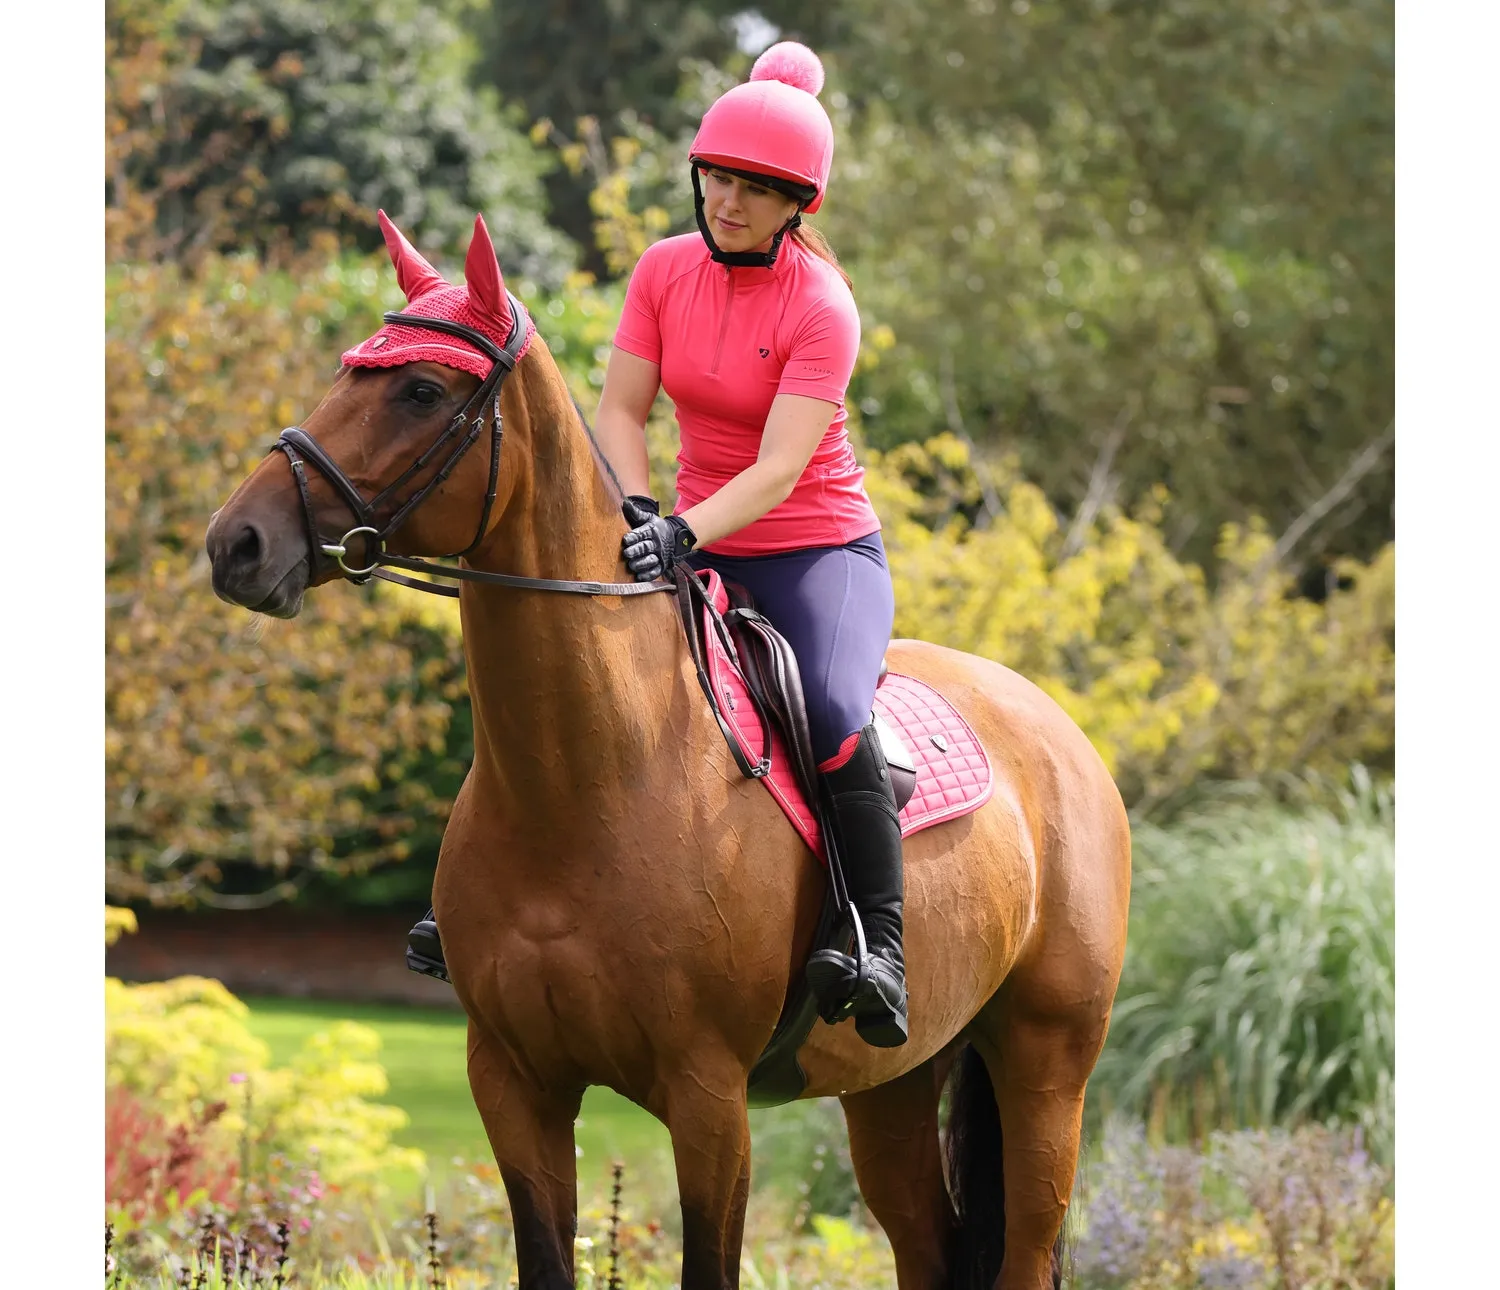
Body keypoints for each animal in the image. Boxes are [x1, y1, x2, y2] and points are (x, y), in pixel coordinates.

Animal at [205, 214, 1128, 1290]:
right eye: (348, 369)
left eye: (421, 391)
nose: (238, 544)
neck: (595, 777)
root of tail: (1060, 732)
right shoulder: (513, 1083)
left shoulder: (708, 1098)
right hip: (896, 1083)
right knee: (929, 1243)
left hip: (1045, 1069)